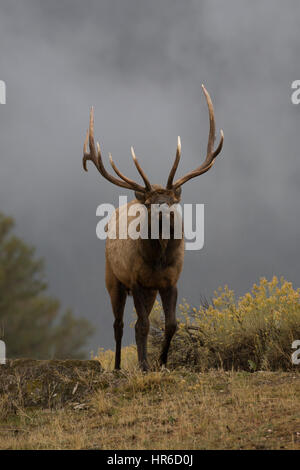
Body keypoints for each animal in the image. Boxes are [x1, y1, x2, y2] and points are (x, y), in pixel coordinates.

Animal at [82, 84, 223, 370]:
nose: (162, 216)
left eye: (170, 201)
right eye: (149, 203)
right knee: (119, 324)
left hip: (148, 290)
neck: (158, 260)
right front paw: (145, 365)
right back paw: (117, 366)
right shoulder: (136, 280)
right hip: (112, 278)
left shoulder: (170, 281)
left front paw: (162, 362)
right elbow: (143, 326)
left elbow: (171, 325)